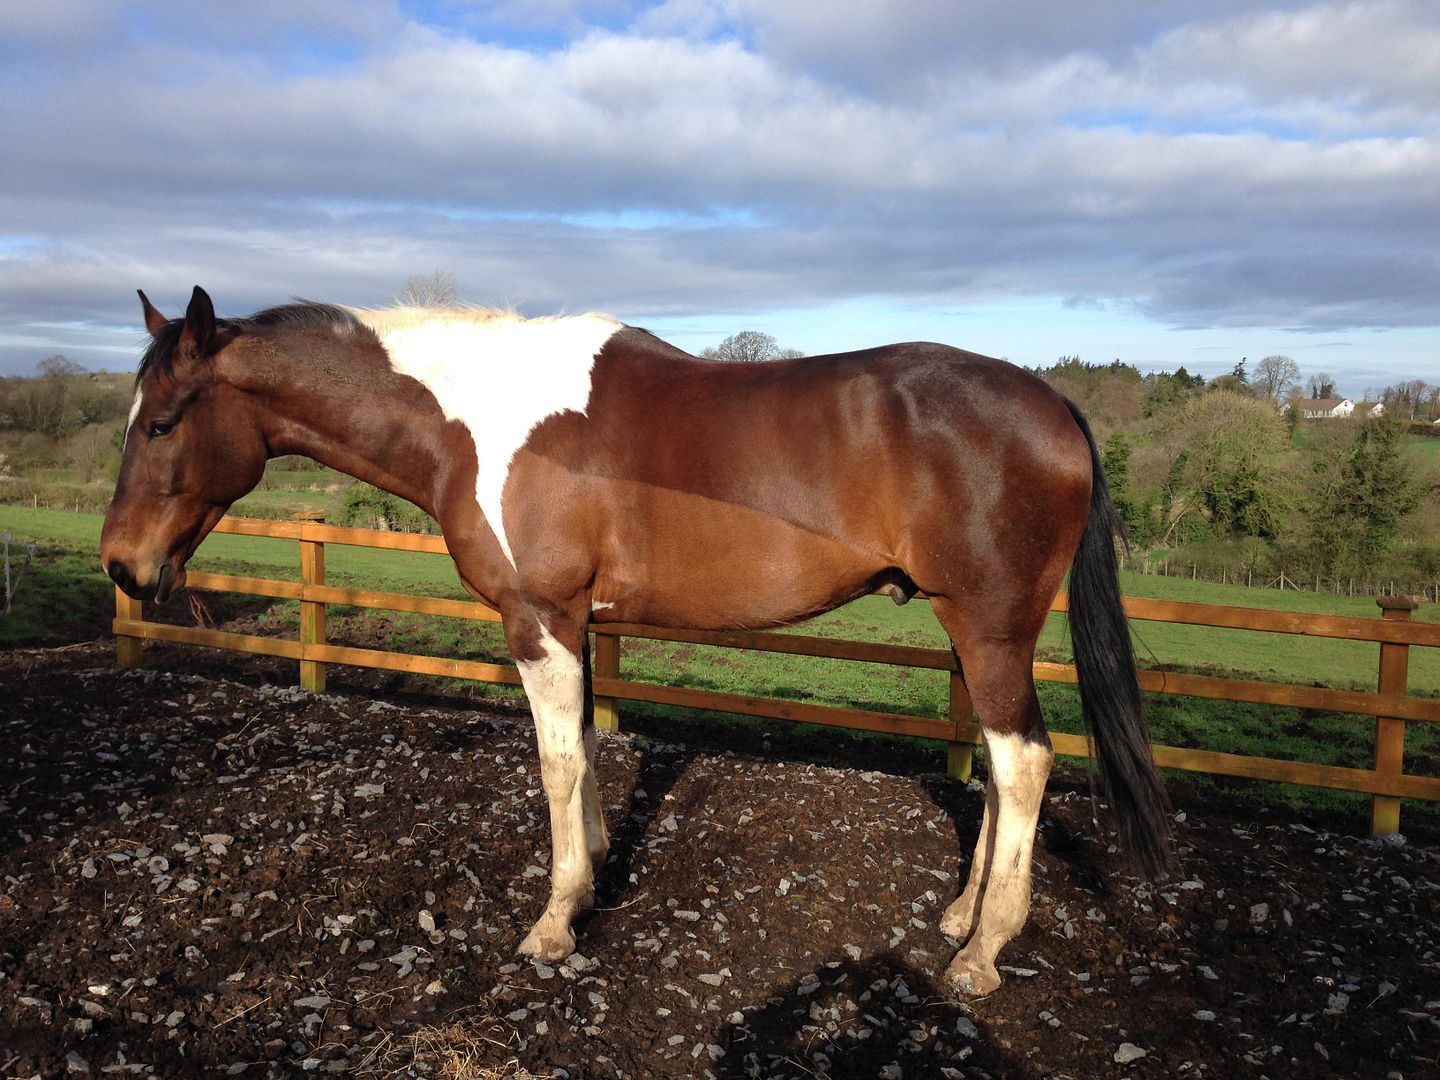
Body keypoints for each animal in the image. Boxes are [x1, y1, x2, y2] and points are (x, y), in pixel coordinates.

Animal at [101, 286, 1170, 996]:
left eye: (161, 424)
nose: (121, 565)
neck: (476, 422)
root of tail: (1051, 404)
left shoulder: (539, 617)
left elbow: (557, 759)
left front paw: (553, 922)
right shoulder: (574, 624)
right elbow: (584, 749)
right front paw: (591, 879)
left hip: (987, 630)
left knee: (1024, 762)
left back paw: (982, 952)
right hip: (979, 635)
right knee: (1002, 761)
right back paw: (960, 915)